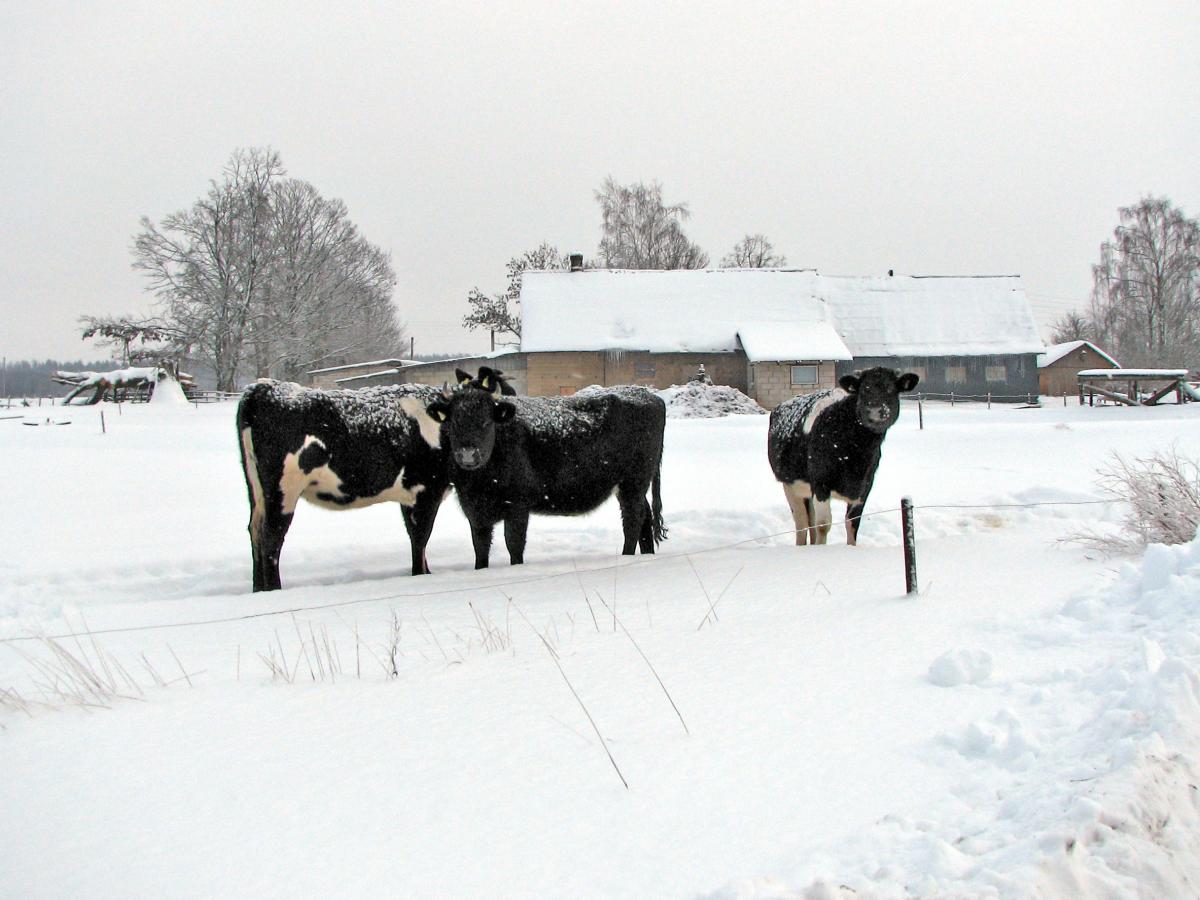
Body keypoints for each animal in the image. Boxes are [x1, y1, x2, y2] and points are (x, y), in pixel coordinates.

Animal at [237, 380, 449, 591]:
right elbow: (420, 538)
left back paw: (259, 590)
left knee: (255, 531)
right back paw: (274, 590)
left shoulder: (409, 495)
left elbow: (413, 536)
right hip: (283, 490)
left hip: (257, 490)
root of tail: (264, 387)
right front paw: (421, 575)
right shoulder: (428, 490)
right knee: (271, 537)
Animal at [424, 372, 667, 569]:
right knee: (645, 519)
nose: (467, 455)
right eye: (455, 421)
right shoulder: (475, 511)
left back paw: (626, 556)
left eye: (486, 422)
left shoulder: (518, 505)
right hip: (632, 487)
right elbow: (480, 547)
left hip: (633, 483)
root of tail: (650, 396)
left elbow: (514, 544)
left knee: (633, 520)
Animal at [767, 367, 919, 546]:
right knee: (802, 523)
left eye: (890, 389)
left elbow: (852, 523)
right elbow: (823, 525)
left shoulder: (865, 486)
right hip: (790, 485)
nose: (875, 410)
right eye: (864, 389)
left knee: (809, 522)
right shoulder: (821, 483)